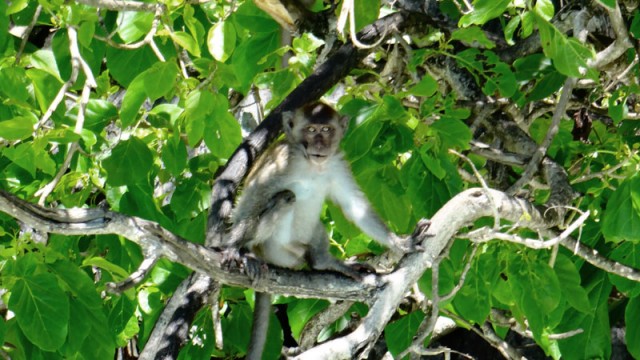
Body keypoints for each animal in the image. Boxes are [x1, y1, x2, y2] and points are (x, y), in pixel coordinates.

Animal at [228, 102, 428, 360]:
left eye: (326, 129)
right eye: (311, 129)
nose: (320, 144)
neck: (313, 164)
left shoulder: (337, 162)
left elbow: (355, 205)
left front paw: (401, 243)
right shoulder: (283, 159)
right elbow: (254, 195)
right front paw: (234, 249)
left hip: (296, 251)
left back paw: (323, 261)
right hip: (275, 249)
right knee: (284, 197)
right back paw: (249, 251)